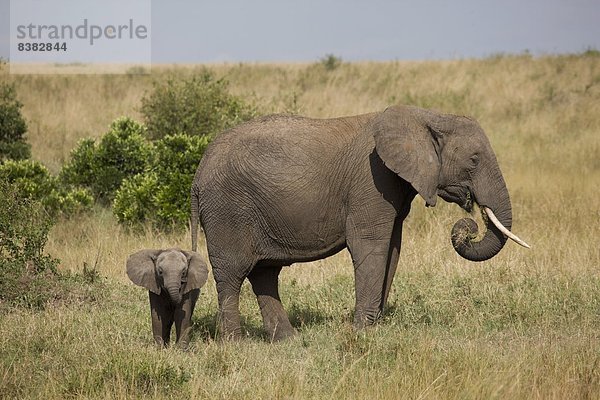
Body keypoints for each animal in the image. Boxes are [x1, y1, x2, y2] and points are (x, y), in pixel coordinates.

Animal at [190, 104, 528, 340]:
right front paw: (363, 332)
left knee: (265, 273)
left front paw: (374, 327)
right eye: (474, 160)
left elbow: (392, 250)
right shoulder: (372, 180)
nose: (469, 225)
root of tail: (199, 171)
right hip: (227, 210)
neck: (427, 116)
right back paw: (235, 343)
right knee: (232, 274)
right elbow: (370, 247)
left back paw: (288, 340)